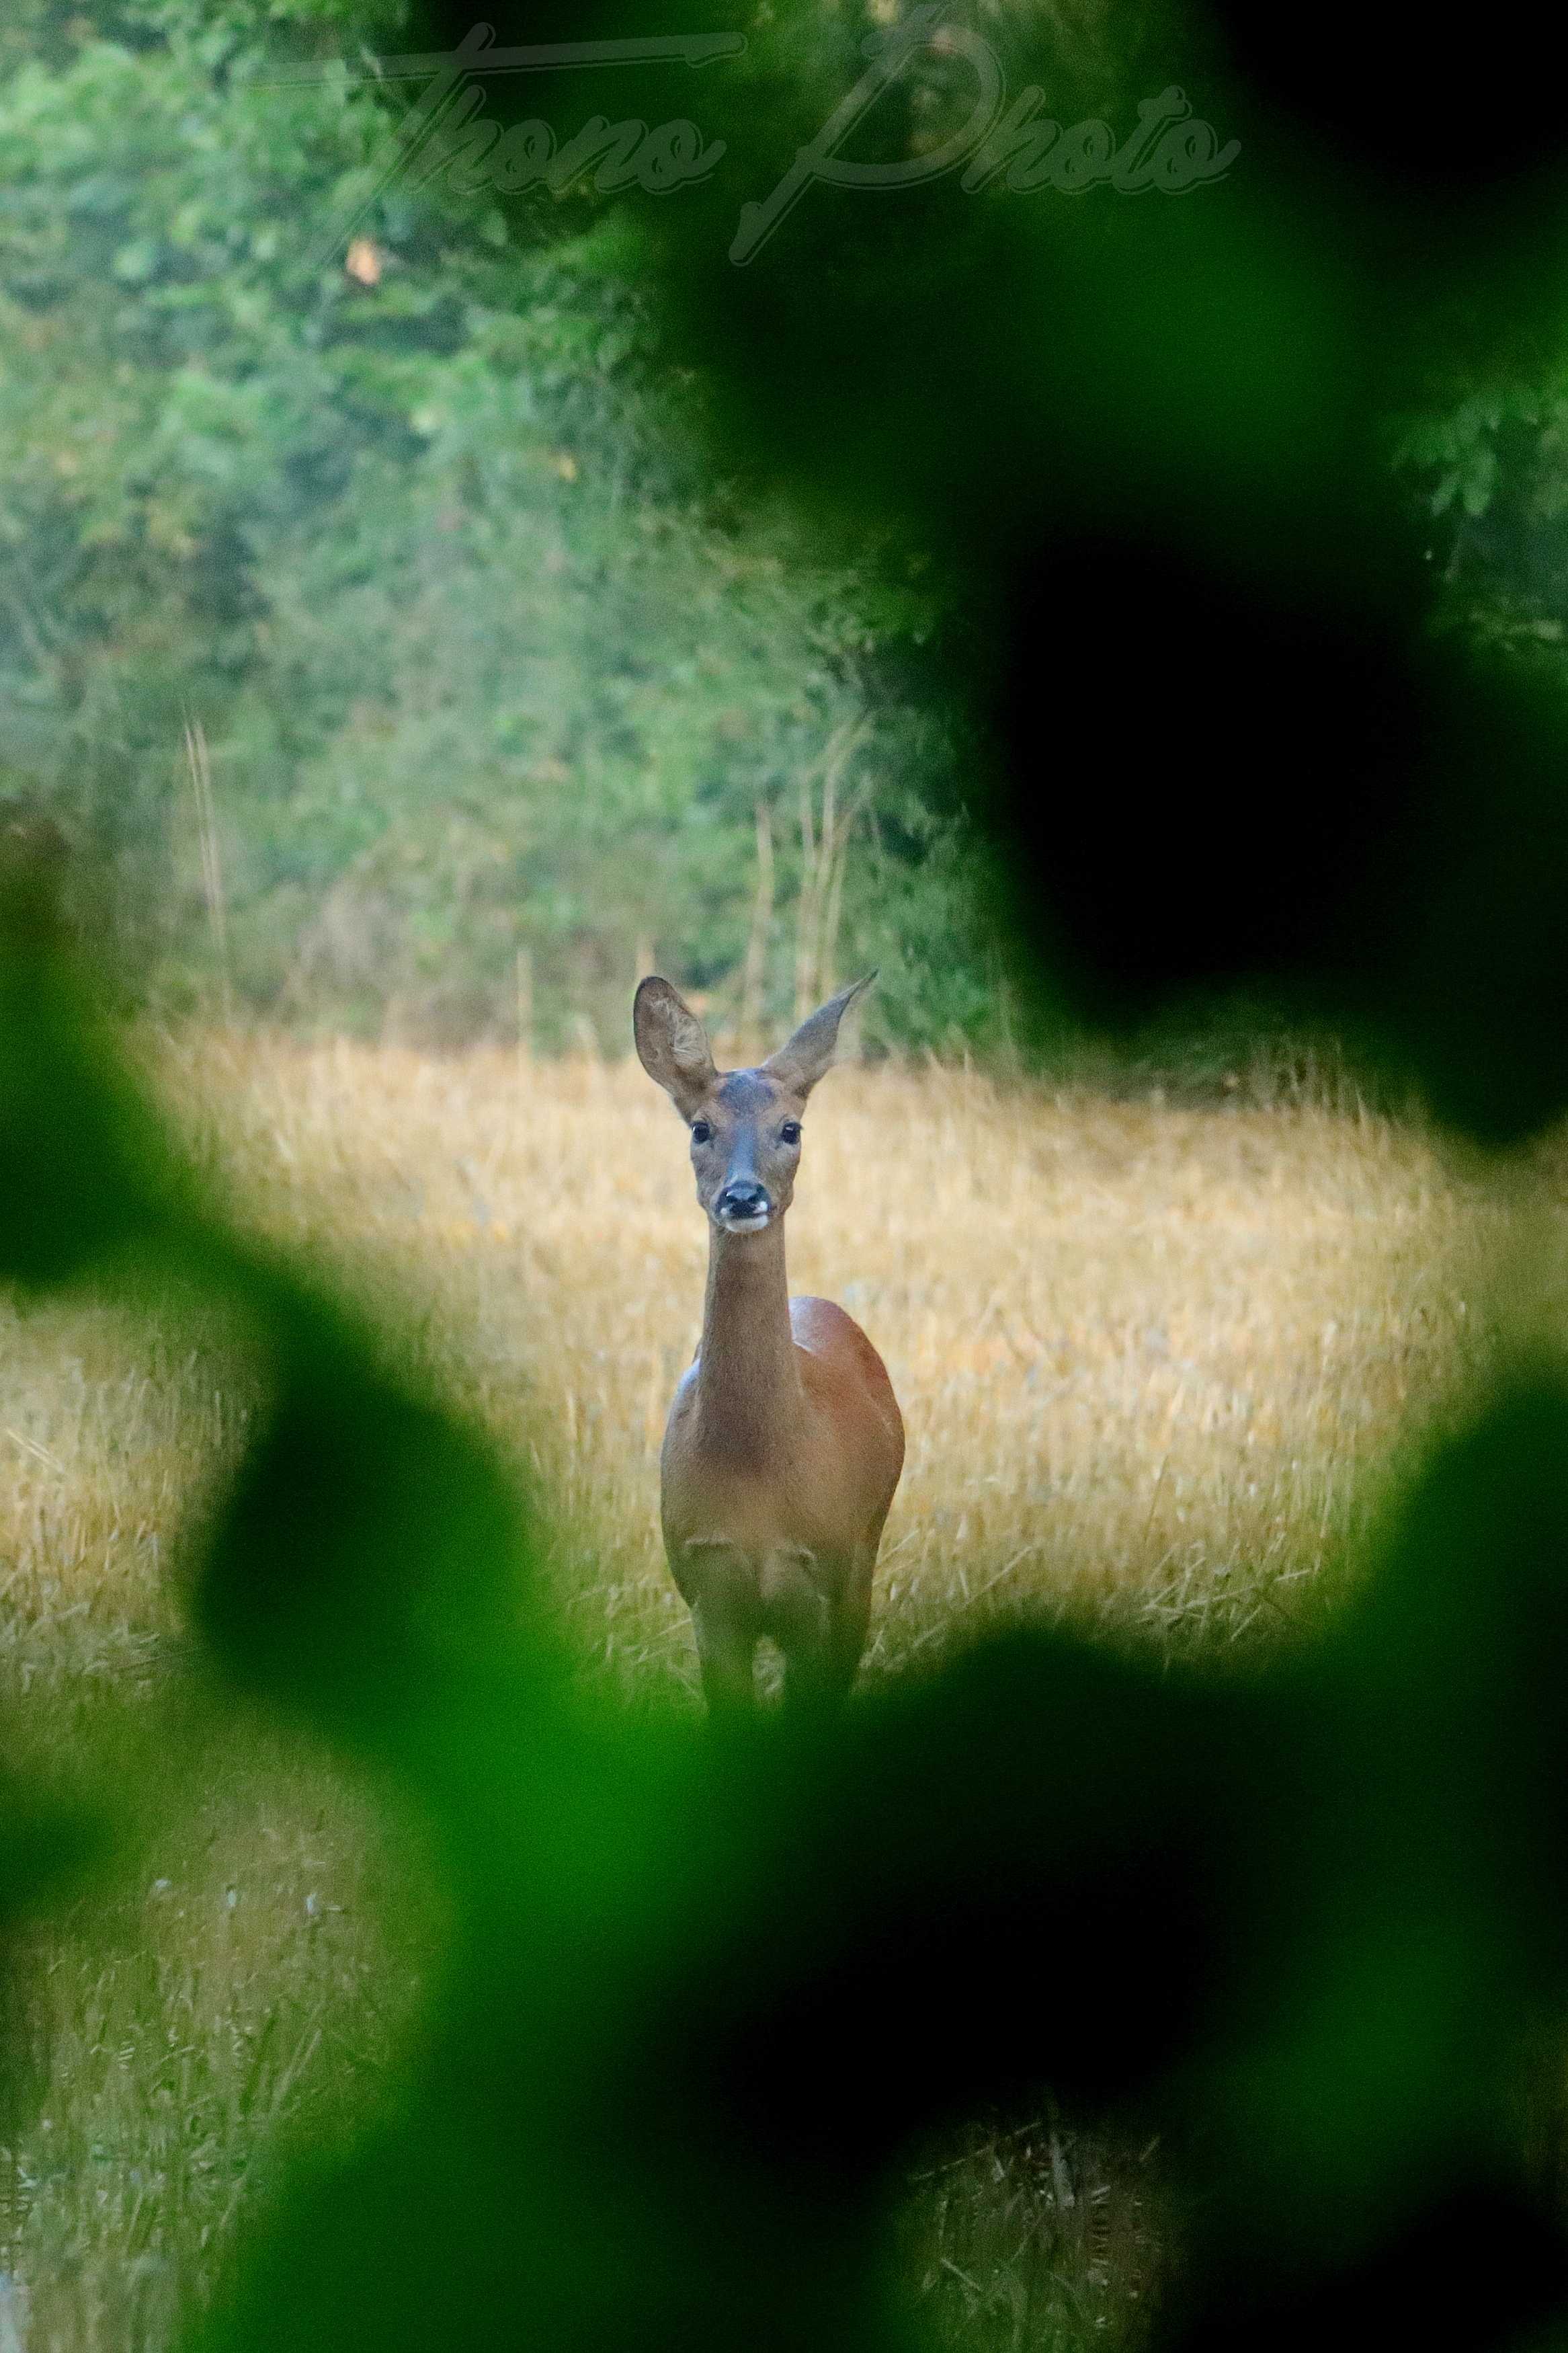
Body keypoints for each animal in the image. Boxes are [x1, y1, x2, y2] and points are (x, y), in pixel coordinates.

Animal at [634, 965, 907, 1722]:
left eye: (791, 1127)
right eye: (700, 1127)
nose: (743, 1196)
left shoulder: (819, 1585)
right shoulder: (708, 1591)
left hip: (864, 1556)